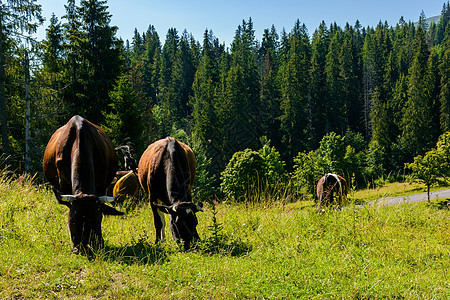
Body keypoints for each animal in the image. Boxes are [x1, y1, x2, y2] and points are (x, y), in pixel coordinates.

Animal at [42, 115, 123, 253]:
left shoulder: (101, 187)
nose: (83, 248)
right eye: (73, 221)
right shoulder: (64, 184)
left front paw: (99, 242)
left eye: (96, 220)